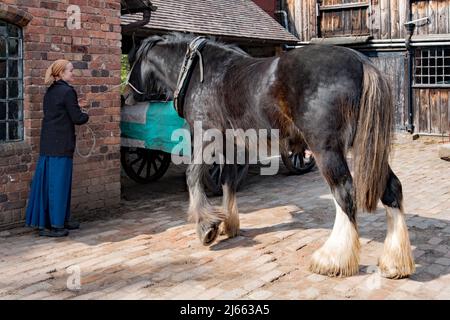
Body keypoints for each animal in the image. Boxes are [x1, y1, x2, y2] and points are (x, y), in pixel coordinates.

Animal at [124, 31, 414, 278]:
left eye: (132, 60)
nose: (126, 95)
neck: (198, 74)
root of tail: (360, 62)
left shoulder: (207, 137)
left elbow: (192, 176)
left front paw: (207, 227)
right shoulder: (230, 144)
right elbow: (228, 181)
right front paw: (228, 224)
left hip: (326, 148)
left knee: (344, 193)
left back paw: (333, 259)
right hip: (365, 145)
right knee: (392, 188)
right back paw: (395, 262)